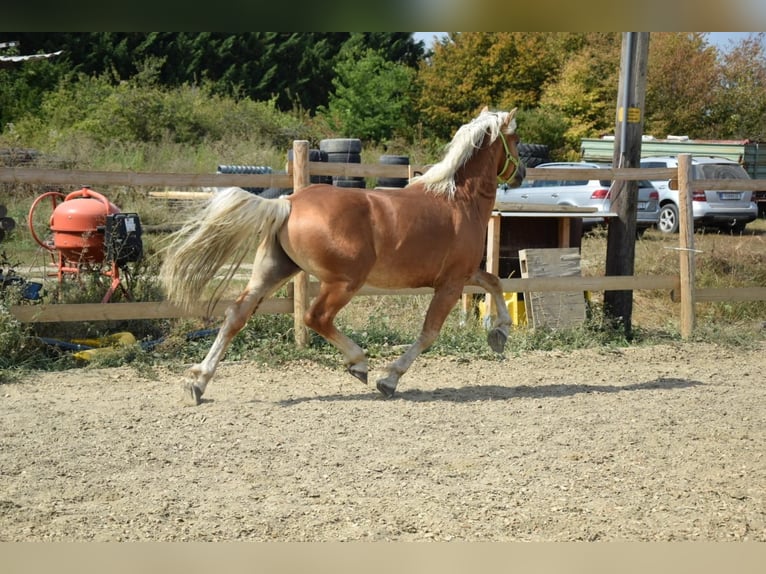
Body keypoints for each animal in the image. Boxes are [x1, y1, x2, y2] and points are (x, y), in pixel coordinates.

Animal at [159, 108, 524, 404]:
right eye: (516, 139)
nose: (520, 174)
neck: (458, 200)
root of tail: (288, 202)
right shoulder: (450, 284)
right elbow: (429, 333)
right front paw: (388, 379)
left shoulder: (465, 273)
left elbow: (494, 281)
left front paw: (500, 334)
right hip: (344, 283)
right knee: (315, 317)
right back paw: (359, 363)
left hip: (274, 271)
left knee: (237, 314)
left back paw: (198, 383)